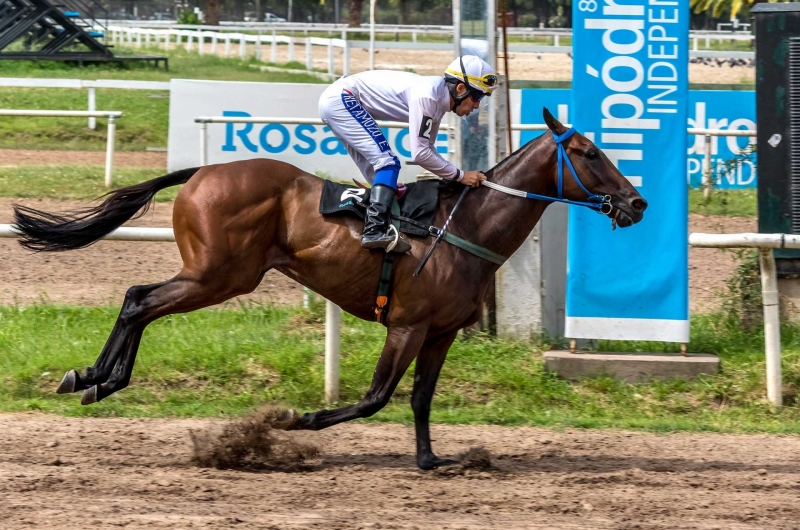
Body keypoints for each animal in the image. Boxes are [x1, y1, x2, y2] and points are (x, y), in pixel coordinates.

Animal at [15, 107, 648, 466]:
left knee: (138, 300)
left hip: (214, 276)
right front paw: (290, 423)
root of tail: (202, 171)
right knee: (139, 299)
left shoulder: (440, 332)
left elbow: (420, 398)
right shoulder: (407, 325)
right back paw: (95, 378)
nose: (637, 203)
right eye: (589, 152)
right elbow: (375, 398)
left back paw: (95, 379)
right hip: (219, 276)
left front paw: (432, 460)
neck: (463, 228)